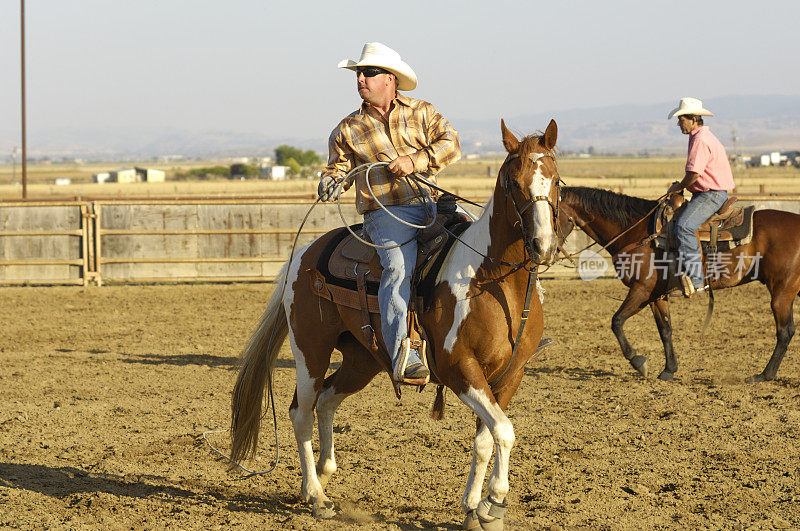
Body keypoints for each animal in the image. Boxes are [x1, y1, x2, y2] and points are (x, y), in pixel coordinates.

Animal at [228, 120, 560, 531]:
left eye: (557, 180)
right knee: (301, 412)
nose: (543, 245)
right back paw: (317, 497)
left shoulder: (509, 374)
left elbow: (488, 437)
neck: (492, 281)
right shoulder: (460, 369)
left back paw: (323, 472)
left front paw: (475, 508)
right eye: (514, 182)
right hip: (310, 349)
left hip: (362, 358)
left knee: (327, 399)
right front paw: (494, 502)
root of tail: (303, 254)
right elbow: (504, 431)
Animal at [560, 186, 800, 382]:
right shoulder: (656, 295)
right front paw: (669, 370)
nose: (548, 246)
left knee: (785, 331)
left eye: (554, 213)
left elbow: (616, 321)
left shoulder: (641, 290)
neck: (636, 233)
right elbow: (665, 329)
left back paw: (764, 375)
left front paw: (638, 362)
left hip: (781, 292)